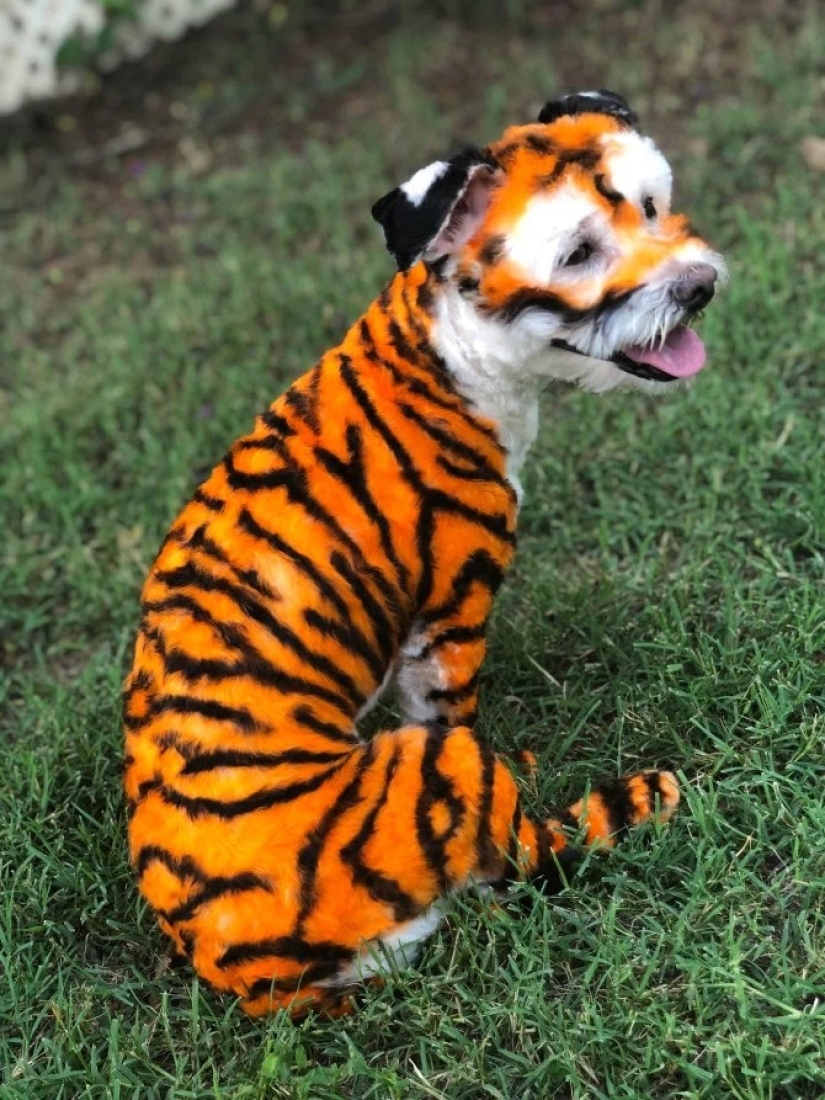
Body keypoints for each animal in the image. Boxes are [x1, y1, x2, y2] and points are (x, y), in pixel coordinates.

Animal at [123, 90, 725, 1017]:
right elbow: (459, 715)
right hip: (441, 769)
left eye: (652, 204)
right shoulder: (451, 615)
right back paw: (629, 797)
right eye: (577, 253)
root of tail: (257, 980)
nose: (700, 287)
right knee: (530, 852)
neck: (448, 355)